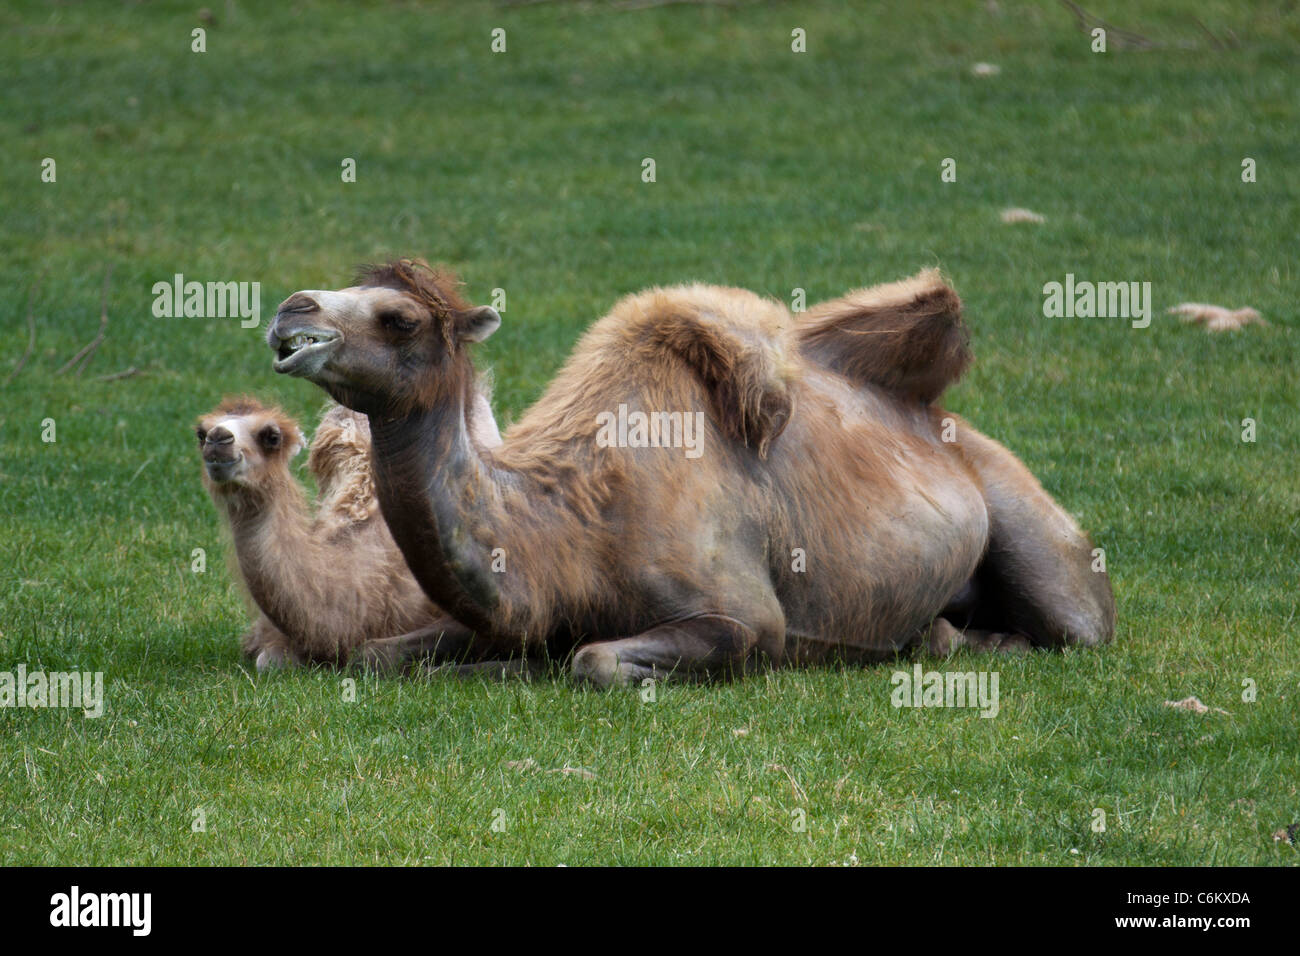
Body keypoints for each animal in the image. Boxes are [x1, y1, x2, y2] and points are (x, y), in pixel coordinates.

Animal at [266, 257, 1118, 686]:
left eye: (398, 317)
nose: (289, 309)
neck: (568, 526)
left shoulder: (743, 617)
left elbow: (593, 660)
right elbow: (379, 654)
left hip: (1036, 535)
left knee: (1074, 631)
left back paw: (948, 640)